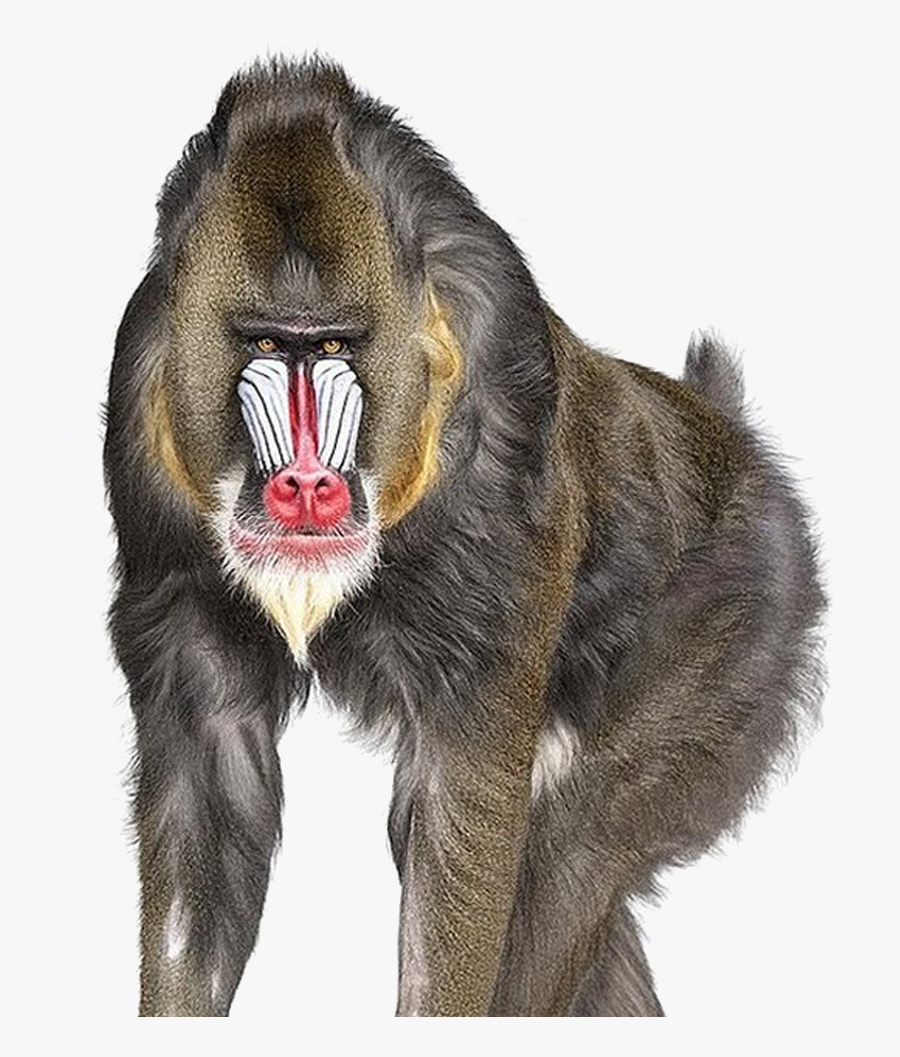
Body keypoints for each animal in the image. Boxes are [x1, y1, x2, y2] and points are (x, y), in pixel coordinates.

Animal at [104, 57, 826, 1017]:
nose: (306, 488)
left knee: (569, 846)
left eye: (332, 347)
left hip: (729, 636)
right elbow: (208, 792)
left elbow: (463, 809)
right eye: (264, 344)